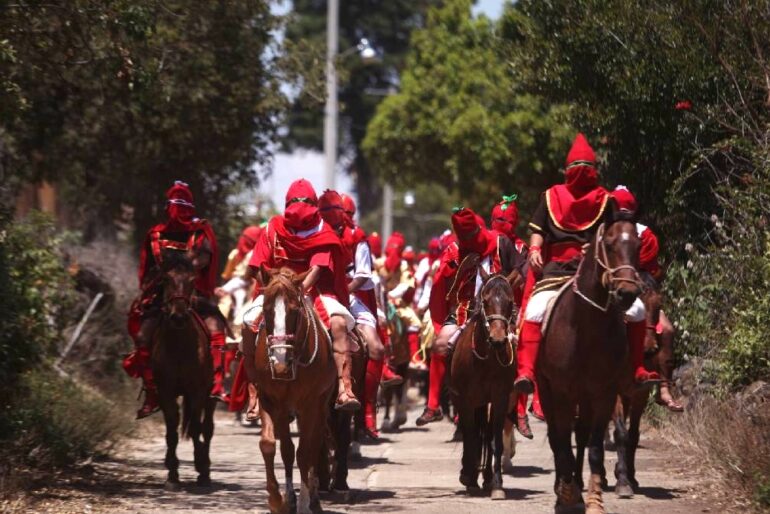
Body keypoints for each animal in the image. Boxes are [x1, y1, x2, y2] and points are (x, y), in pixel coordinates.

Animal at [151, 255, 216, 488]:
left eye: (192, 280)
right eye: (166, 279)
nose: (178, 316)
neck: (180, 346)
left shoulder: (197, 391)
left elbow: (197, 427)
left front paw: (201, 468)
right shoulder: (165, 391)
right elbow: (171, 429)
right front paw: (172, 473)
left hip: (210, 395)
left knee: (207, 428)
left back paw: (205, 467)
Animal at [243, 268, 332, 512]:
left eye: (294, 310)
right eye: (266, 310)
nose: (280, 362)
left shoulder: (310, 405)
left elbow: (304, 452)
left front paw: (303, 503)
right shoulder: (271, 400)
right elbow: (274, 447)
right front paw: (278, 500)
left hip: (321, 407)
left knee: (315, 446)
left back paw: (314, 498)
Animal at [444, 266, 516, 498]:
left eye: (510, 302)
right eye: (485, 300)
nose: (498, 339)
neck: (486, 359)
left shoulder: (500, 398)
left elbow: (495, 439)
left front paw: (497, 484)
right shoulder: (465, 400)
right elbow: (471, 436)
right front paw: (468, 477)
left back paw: (485, 477)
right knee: (473, 434)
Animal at [536, 205, 640, 512]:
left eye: (638, 245)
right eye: (610, 244)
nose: (627, 292)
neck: (585, 328)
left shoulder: (604, 393)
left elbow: (594, 447)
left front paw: (593, 499)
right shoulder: (561, 392)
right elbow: (561, 443)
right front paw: (566, 495)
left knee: (580, 436)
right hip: (548, 390)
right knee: (558, 437)